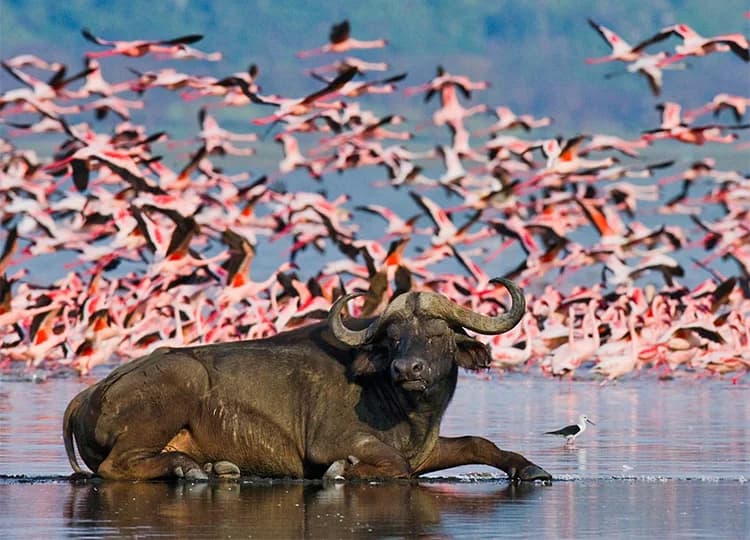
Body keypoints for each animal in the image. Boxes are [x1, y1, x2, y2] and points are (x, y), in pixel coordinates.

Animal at [63, 277, 551, 482]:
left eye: (436, 334)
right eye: (393, 338)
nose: (407, 370)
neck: (408, 411)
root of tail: (87, 395)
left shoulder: (427, 449)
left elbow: (478, 443)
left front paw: (531, 468)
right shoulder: (332, 442)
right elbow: (393, 465)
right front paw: (343, 472)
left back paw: (213, 468)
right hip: (177, 384)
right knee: (115, 467)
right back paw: (192, 471)